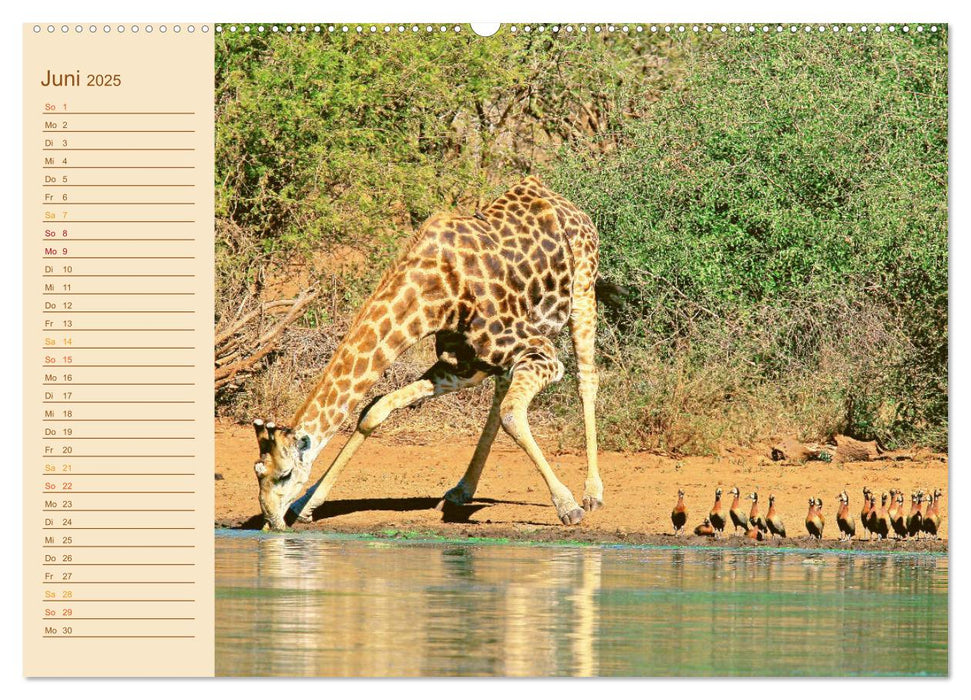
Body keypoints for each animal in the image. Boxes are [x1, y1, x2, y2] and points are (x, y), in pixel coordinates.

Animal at [251, 175, 604, 532]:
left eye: (285, 475)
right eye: (258, 474)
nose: (270, 522)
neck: (432, 297)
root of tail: (558, 198)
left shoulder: (541, 352)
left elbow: (512, 414)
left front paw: (567, 506)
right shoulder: (462, 364)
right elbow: (375, 409)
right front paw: (306, 505)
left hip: (582, 291)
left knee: (586, 380)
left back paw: (592, 493)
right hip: (496, 358)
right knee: (499, 396)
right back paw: (462, 490)